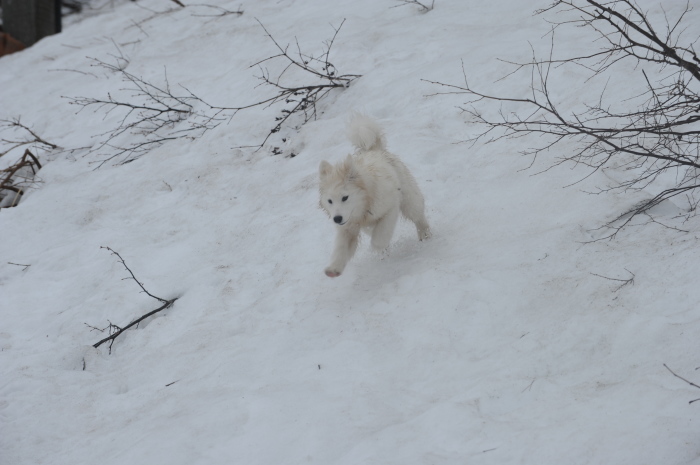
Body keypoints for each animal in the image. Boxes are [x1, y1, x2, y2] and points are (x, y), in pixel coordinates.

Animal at [318, 114, 430, 278]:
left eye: (345, 197)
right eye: (329, 201)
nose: (337, 219)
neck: (364, 206)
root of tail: (374, 149)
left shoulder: (390, 207)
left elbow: (381, 233)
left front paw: (377, 246)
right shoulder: (348, 227)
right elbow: (341, 248)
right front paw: (333, 269)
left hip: (408, 198)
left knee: (418, 215)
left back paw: (425, 235)